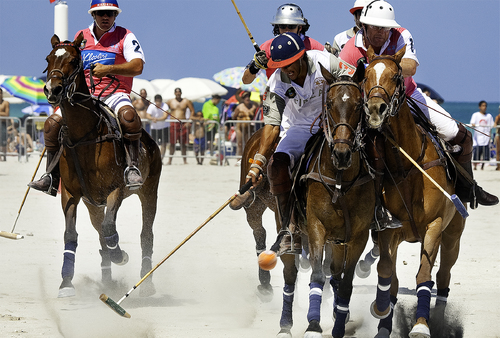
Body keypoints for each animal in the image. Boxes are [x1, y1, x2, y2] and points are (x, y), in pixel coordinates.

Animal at [44, 33, 161, 298]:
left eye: (74, 60)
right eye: (48, 58)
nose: (52, 89)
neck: (83, 135)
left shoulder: (116, 189)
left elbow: (110, 229)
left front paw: (121, 255)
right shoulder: (70, 194)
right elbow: (71, 234)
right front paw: (66, 283)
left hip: (149, 191)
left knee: (145, 234)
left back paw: (146, 283)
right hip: (92, 203)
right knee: (100, 234)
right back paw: (107, 280)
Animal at [364, 45, 464, 338]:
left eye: (397, 76)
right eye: (365, 74)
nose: (375, 109)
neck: (406, 166)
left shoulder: (435, 226)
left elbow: (424, 276)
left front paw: (421, 325)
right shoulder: (390, 231)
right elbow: (388, 273)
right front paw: (382, 314)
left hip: (453, 235)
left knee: (443, 276)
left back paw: (438, 320)